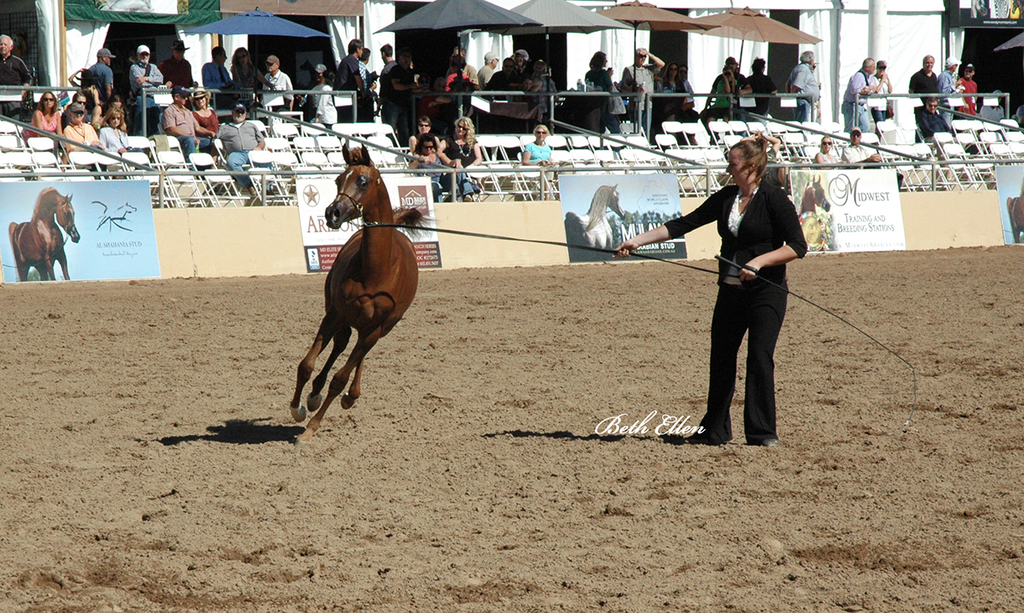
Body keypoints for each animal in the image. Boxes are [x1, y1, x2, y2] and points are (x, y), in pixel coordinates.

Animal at [289, 145, 425, 443]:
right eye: (339, 180)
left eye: (363, 181)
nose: (332, 213)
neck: (377, 269)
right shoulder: (333, 315)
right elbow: (306, 364)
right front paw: (298, 408)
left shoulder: (375, 328)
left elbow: (340, 378)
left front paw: (311, 428)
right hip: (341, 318)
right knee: (341, 345)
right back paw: (315, 392)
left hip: (378, 329)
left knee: (357, 355)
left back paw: (350, 395)